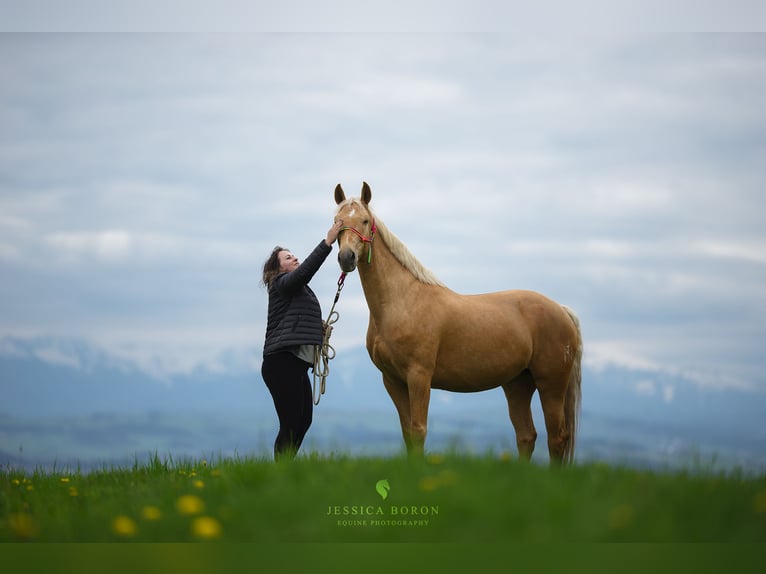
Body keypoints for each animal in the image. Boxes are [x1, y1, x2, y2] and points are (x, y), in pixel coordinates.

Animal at [334, 182, 584, 466]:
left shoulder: (419, 376)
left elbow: (419, 430)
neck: (402, 301)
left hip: (551, 384)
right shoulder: (392, 380)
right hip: (518, 384)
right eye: (336, 220)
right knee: (526, 436)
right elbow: (408, 432)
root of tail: (562, 310)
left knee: (557, 438)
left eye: (364, 221)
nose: (346, 258)